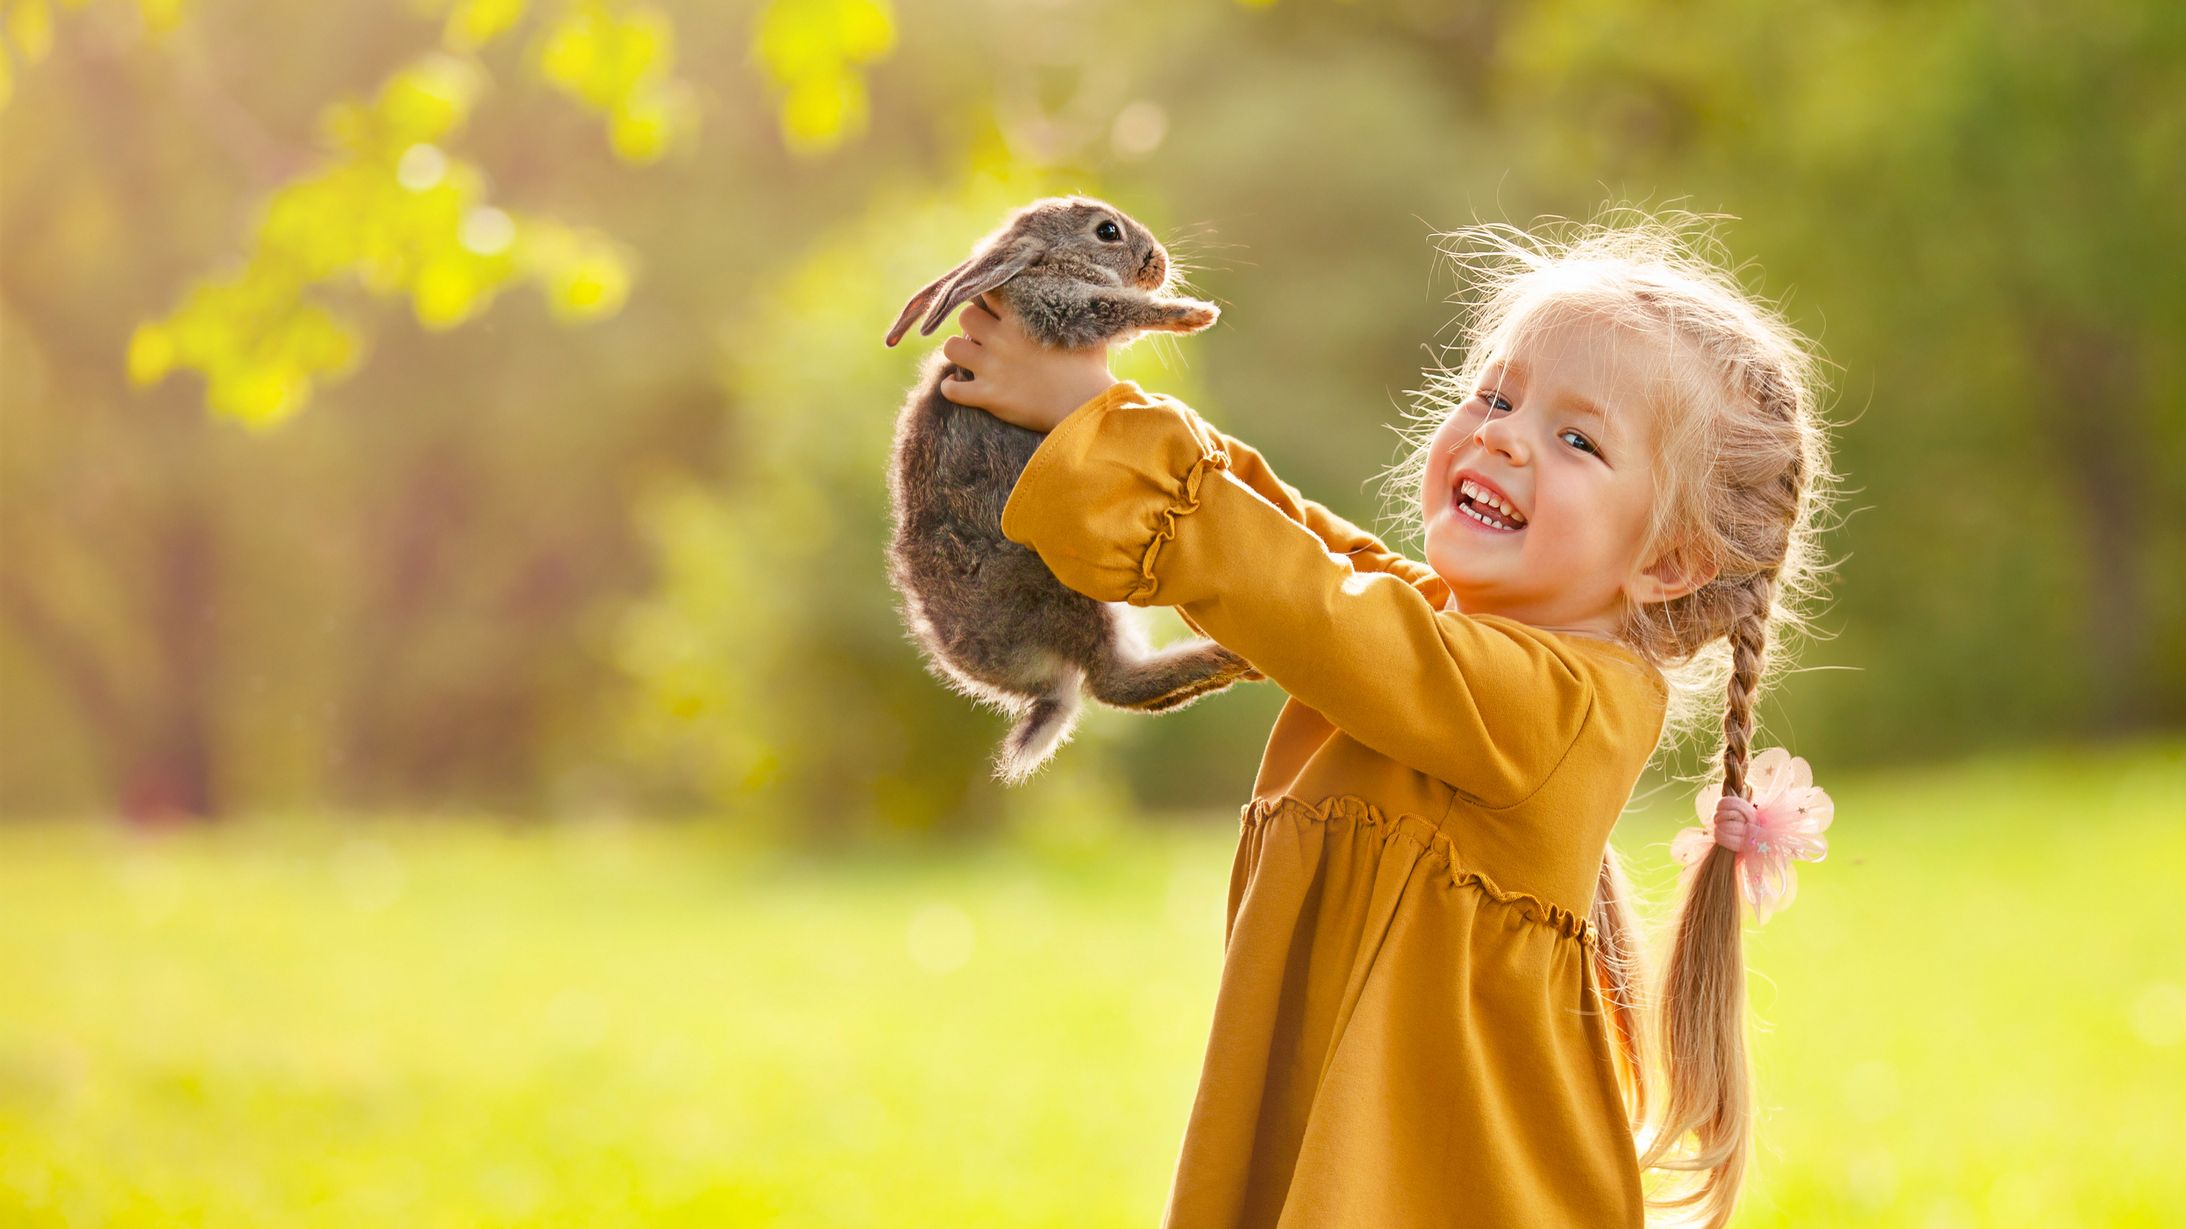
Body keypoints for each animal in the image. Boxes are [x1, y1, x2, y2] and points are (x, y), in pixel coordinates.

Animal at [883, 195, 1260, 785]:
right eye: (1107, 232)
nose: (1158, 262)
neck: (1043, 263)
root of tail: (1040, 690)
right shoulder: (1060, 303)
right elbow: (1116, 308)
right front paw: (1194, 313)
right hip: (1068, 589)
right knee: (1110, 682)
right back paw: (1224, 659)